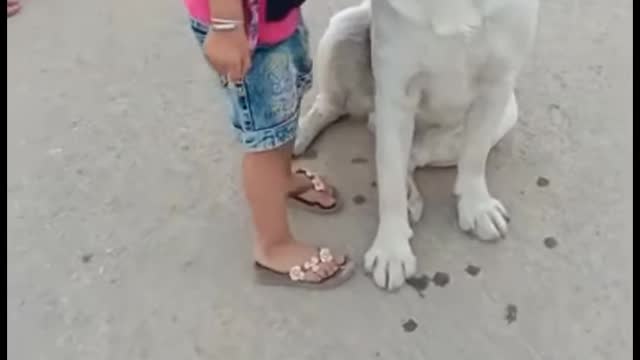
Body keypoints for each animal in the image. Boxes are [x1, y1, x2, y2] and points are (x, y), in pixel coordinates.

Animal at [296, 0, 540, 288]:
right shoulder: (395, 94)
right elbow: (390, 181)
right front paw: (391, 249)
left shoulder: (498, 84)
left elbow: (475, 157)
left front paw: (477, 206)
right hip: (345, 27)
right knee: (331, 105)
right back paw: (299, 135)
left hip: (507, 113)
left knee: (416, 156)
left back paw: (411, 193)